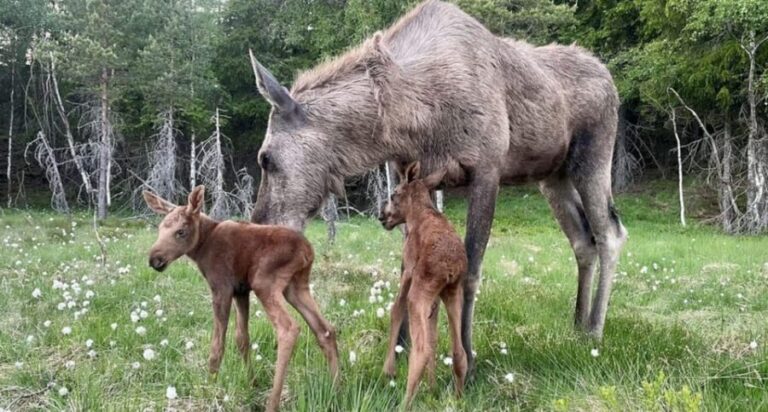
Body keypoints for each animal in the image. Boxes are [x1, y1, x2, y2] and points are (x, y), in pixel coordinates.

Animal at [143, 185, 339, 412]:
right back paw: (337, 390)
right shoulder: (241, 291)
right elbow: (242, 338)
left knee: (288, 328)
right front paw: (252, 382)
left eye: (180, 232)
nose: (155, 260)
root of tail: (308, 251)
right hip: (296, 287)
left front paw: (210, 386)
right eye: (160, 229)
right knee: (325, 329)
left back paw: (273, 403)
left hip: (265, 282)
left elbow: (218, 344)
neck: (202, 247)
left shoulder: (222, 287)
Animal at [378, 162, 468, 408]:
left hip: (419, 292)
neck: (415, 213)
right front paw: (432, 386)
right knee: (458, 350)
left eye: (393, 194)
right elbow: (434, 331)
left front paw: (388, 369)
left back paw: (405, 403)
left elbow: (395, 310)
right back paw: (458, 398)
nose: (382, 216)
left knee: (421, 350)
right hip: (453, 291)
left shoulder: (408, 269)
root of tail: (450, 266)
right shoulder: (436, 298)